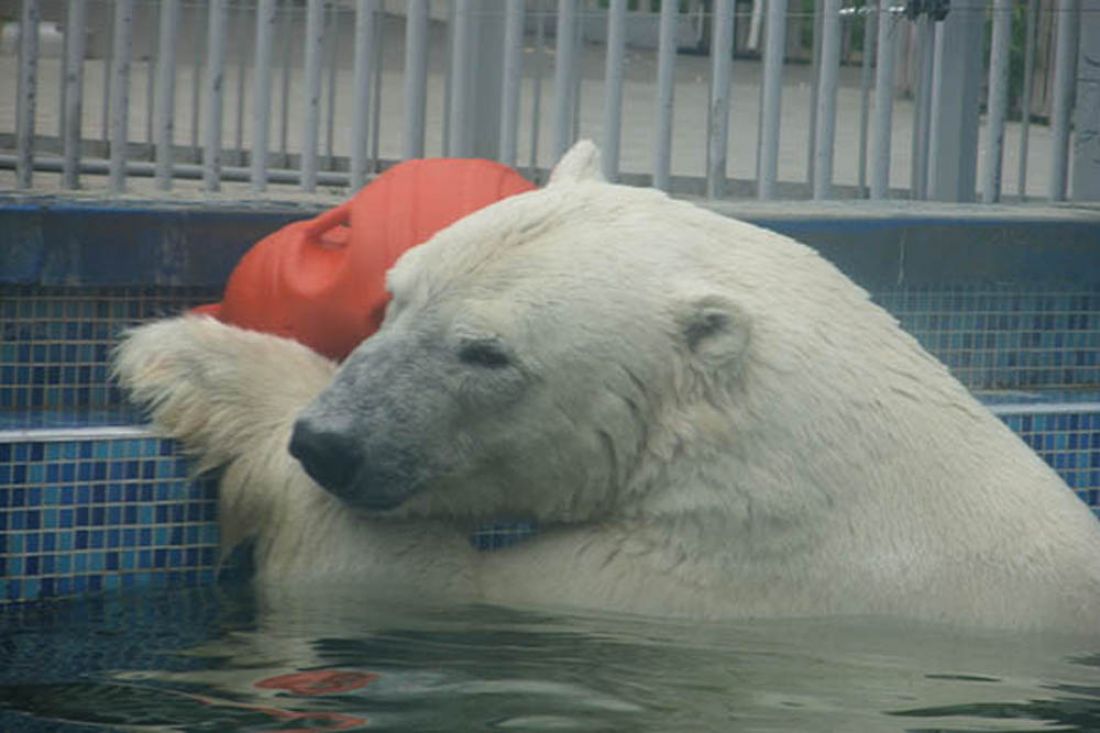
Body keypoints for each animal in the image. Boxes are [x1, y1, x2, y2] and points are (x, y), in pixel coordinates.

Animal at [116, 140, 1100, 629]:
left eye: (486, 354)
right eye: (395, 293)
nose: (329, 442)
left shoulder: (728, 573)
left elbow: (411, 577)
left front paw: (184, 355)